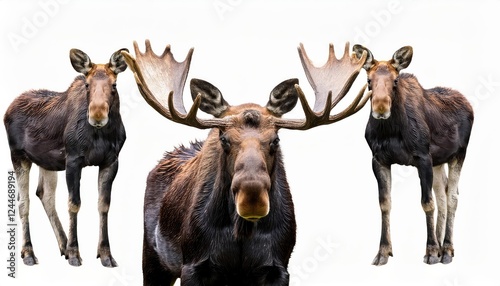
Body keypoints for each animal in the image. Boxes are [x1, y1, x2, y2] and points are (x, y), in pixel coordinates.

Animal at [3, 48, 128, 268]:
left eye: (114, 85)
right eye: (87, 84)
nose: (97, 115)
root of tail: (7, 109)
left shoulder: (111, 161)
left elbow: (103, 205)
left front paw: (105, 254)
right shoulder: (73, 160)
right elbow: (74, 203)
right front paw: (75, 252)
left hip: (47, 162)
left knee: (44, 194)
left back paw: (62, 245)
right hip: (18, 156)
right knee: (23, 201)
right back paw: (29, 252)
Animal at [352, 44, 472, 266]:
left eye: (395, 80)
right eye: (368, 81)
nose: (380, 108)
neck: (391, 131)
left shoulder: (423, 158)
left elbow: (427, 203)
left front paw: (431, 251)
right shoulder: (378, 160)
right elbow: (385, 203)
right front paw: (383, 252)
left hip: (459, 154)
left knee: (452, 197)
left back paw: (446, 249)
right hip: (439, 161)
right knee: (442, 195)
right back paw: (442, 247)